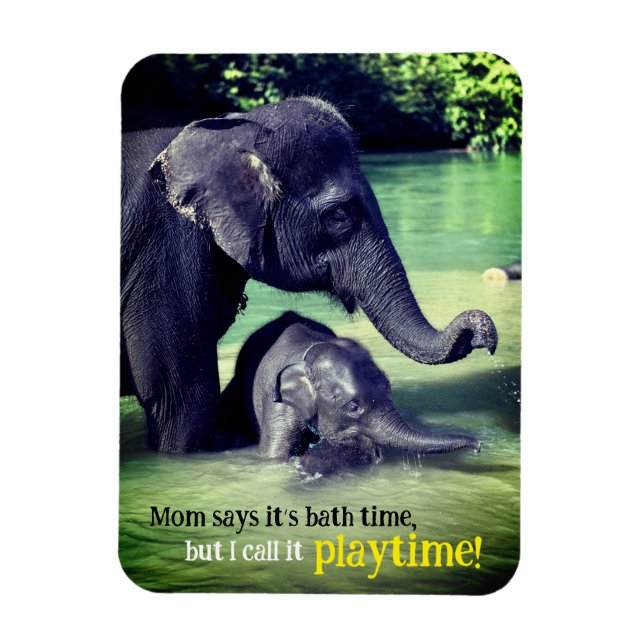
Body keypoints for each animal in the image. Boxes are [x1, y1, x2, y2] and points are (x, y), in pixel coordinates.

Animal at [219, 312, 481, 475]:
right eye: (353, 407)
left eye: (389, 390)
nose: (479, 445)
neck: (312, 352)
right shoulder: (279, 406)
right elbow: (273, 456)